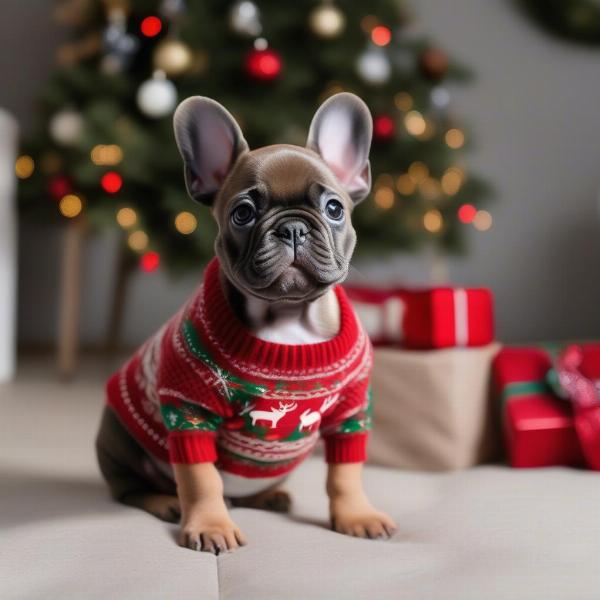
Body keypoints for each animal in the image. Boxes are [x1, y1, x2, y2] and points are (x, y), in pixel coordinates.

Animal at [96, 91, 398, 556]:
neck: (289, 319)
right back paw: (166, 502)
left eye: (334, 208)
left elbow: (346, 473)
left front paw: (357, 516)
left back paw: (269, 496)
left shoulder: (350, 413)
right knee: (129, 487)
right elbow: (200, 478)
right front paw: (210, 525)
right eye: (243, 213)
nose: (293, 227)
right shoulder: (190, 411)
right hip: (117, 436)